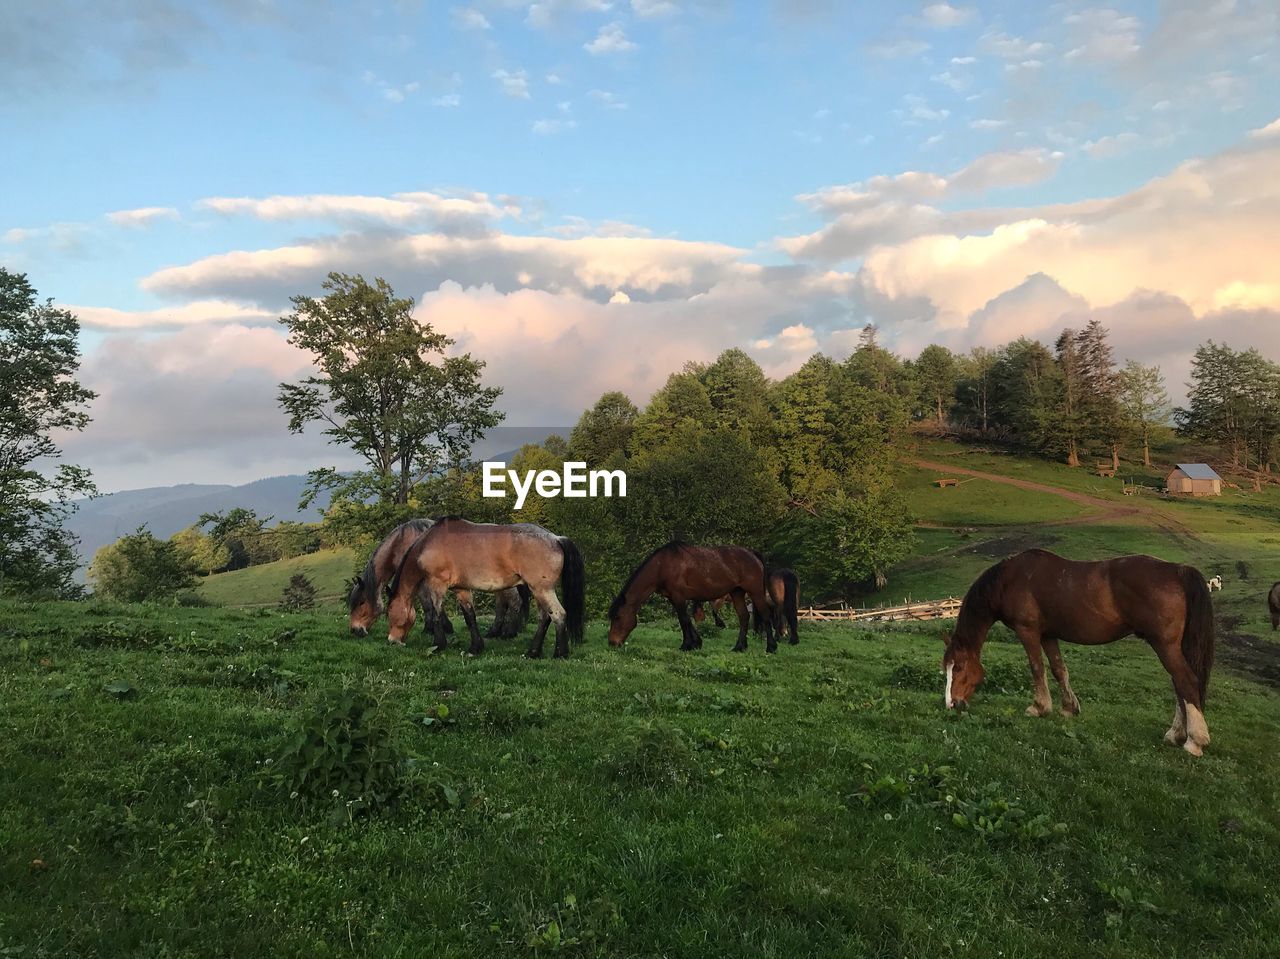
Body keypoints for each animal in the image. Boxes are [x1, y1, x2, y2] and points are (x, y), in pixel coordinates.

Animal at [348, 519, 527, 640]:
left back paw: (508, 633)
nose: (355, 630)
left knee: (514, 602)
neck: (402, 543)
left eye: (361, 602)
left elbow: (428, 605)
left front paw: (431, 629)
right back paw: (496, 631)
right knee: (502, 604)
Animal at [378, 517, 581, 660]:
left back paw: (560, 653)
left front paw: (438, 644)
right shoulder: (461, 588)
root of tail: (556, 538)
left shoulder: (437, 585)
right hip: (538, 590)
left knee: (558, 614)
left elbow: (436, 614)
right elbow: (470, 616)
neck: (428, 545)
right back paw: (533, 652)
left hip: (542, 590)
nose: (392, 640)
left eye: (389, 613)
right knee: (544, 617)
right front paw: (476, 647)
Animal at [609, 542, 778, 655]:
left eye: (617, 617)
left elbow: (683, 620)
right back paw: (739, 647)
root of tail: (753, 554)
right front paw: (696, 643)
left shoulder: (678, 596)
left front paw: (687, 645)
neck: (662, 566)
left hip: (755, 592)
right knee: (744, 617)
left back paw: (771, 647)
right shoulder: (674, 598)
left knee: (765, 615)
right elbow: (687, 619)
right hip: (737, 592)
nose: (612, 643)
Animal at [947, 553, 1213, 757]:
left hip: (1164, 645)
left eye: (958, 667)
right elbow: (1059, 669)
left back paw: (1194, 741)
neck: (1010, 580)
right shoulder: (1048, 635)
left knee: (1186, 682)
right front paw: (1069, 708)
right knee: (1179, 686)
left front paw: (1039, 707)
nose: (952, 704)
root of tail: (1177, 570)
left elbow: (1037, 668)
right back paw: (1175, 734)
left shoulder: (1028, 631)